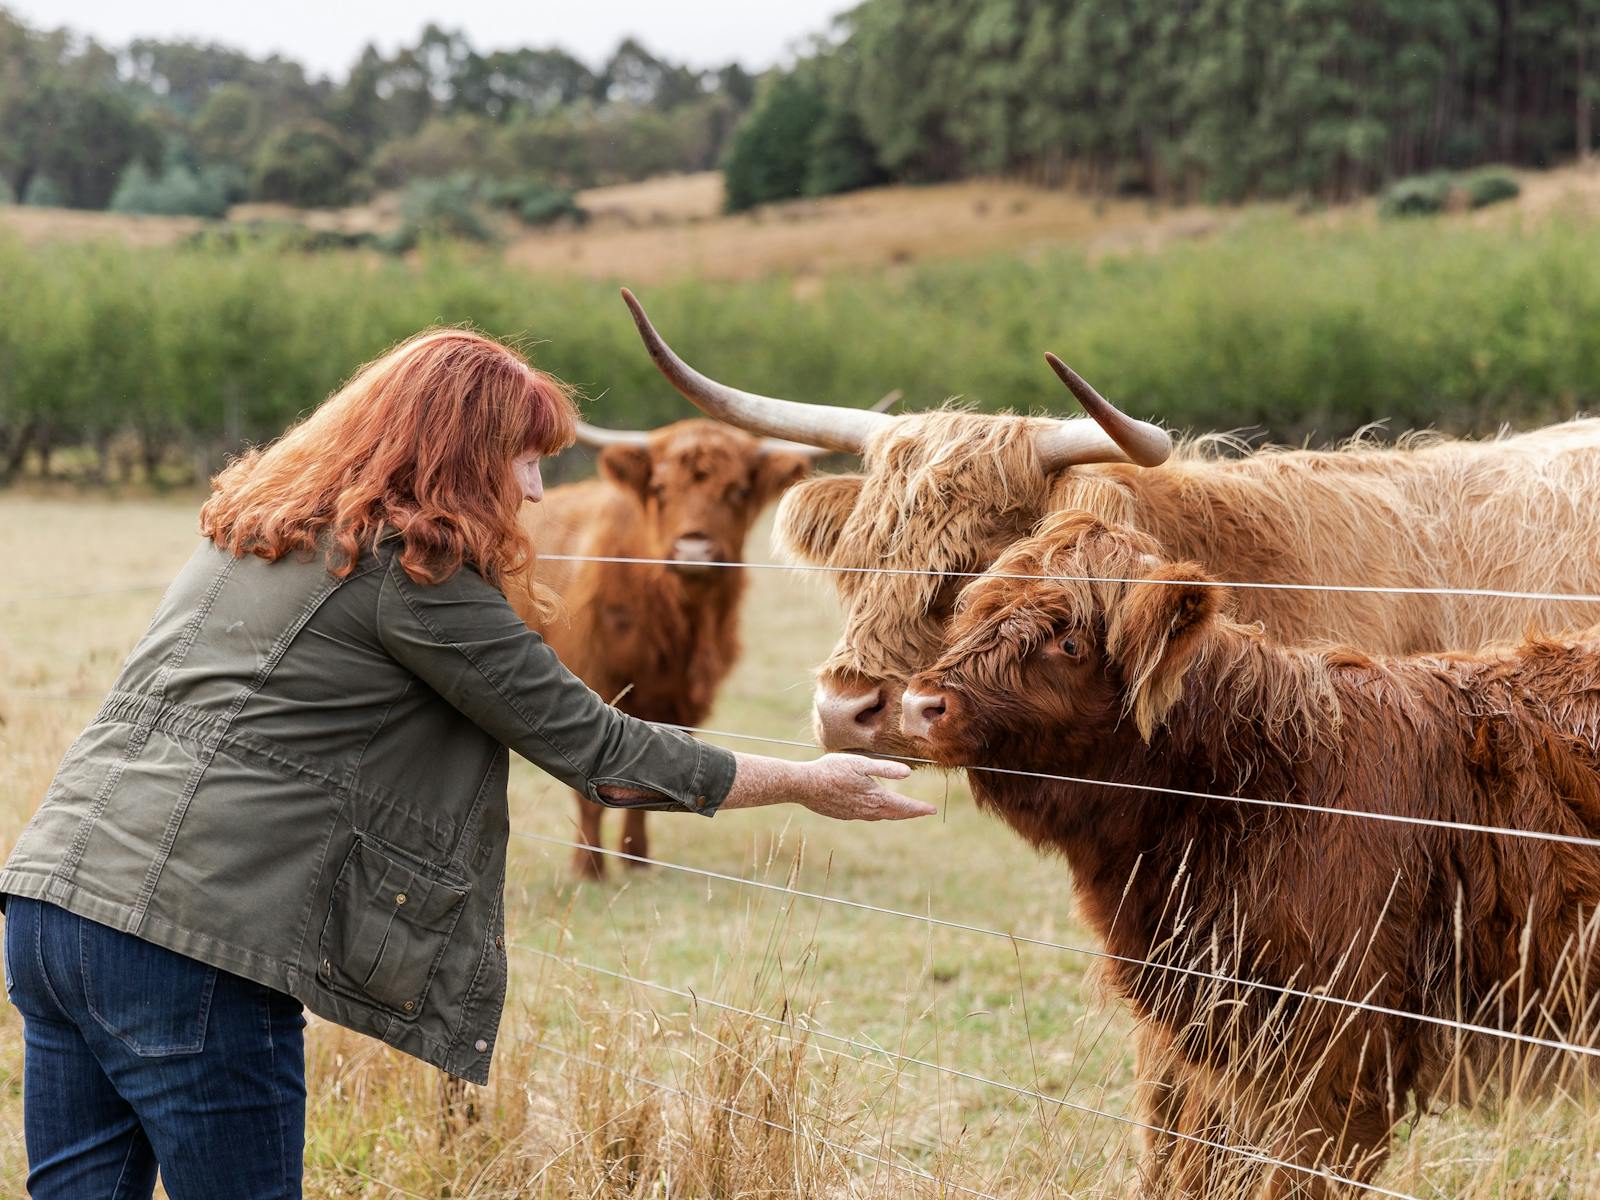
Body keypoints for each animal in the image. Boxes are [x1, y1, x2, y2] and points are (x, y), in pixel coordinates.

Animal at [512, 419, 812, 876]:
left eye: (739, 490)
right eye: (659, 487)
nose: (693, 549)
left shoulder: (674, 701)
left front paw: (636, 858)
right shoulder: (592, 684)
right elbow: (592, 786)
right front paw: (589, 867)